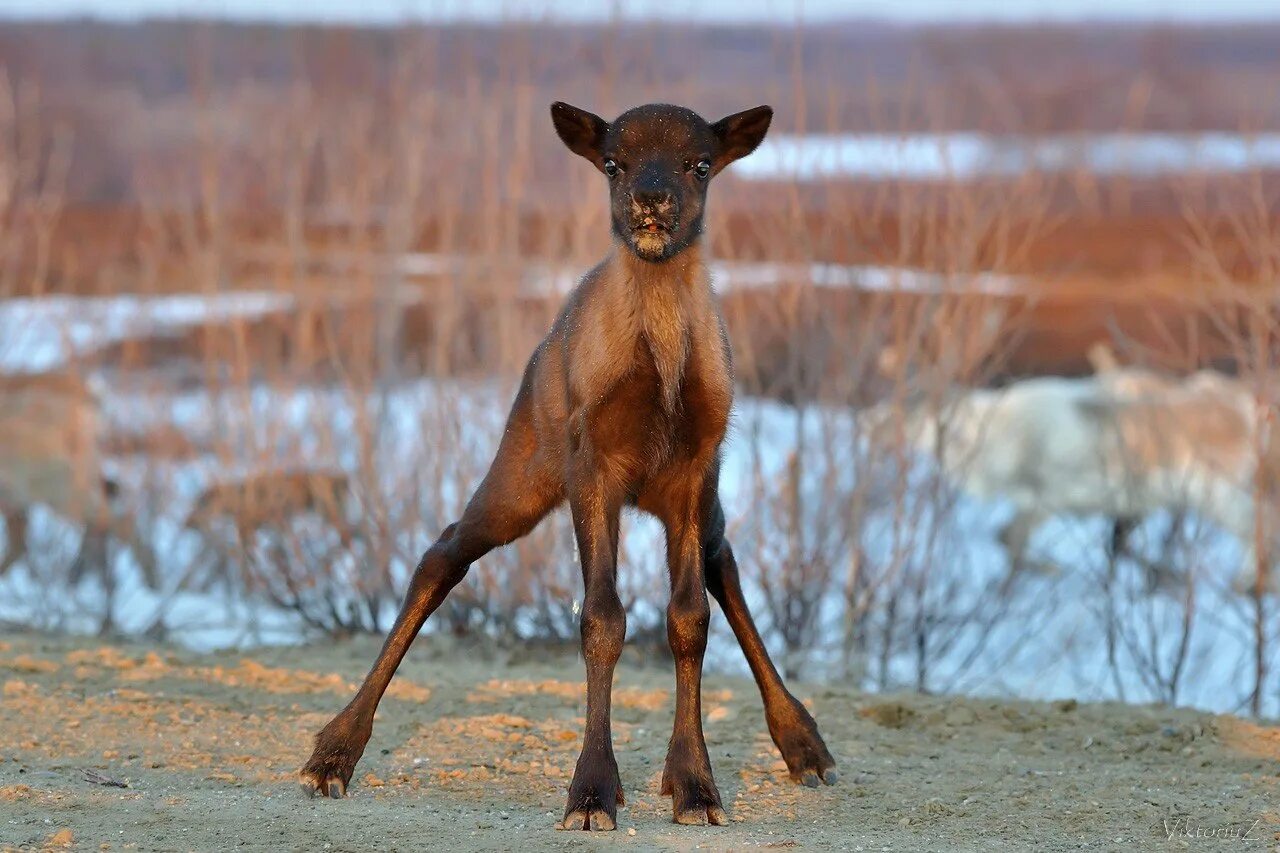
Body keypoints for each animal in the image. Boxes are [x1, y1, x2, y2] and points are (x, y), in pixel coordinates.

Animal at [299, 99, 839, 824]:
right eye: (614, 161)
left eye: (700, 162)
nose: (651, 199)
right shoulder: (594, 467)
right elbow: (602, 619)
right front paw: (591, 790)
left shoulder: (696, 468)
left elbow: (689, 618)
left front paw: (695, 784)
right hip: (524, 467)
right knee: (444, 550)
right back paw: (333, 752)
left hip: (704, 502)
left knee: (723, 564)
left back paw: (803, 743)